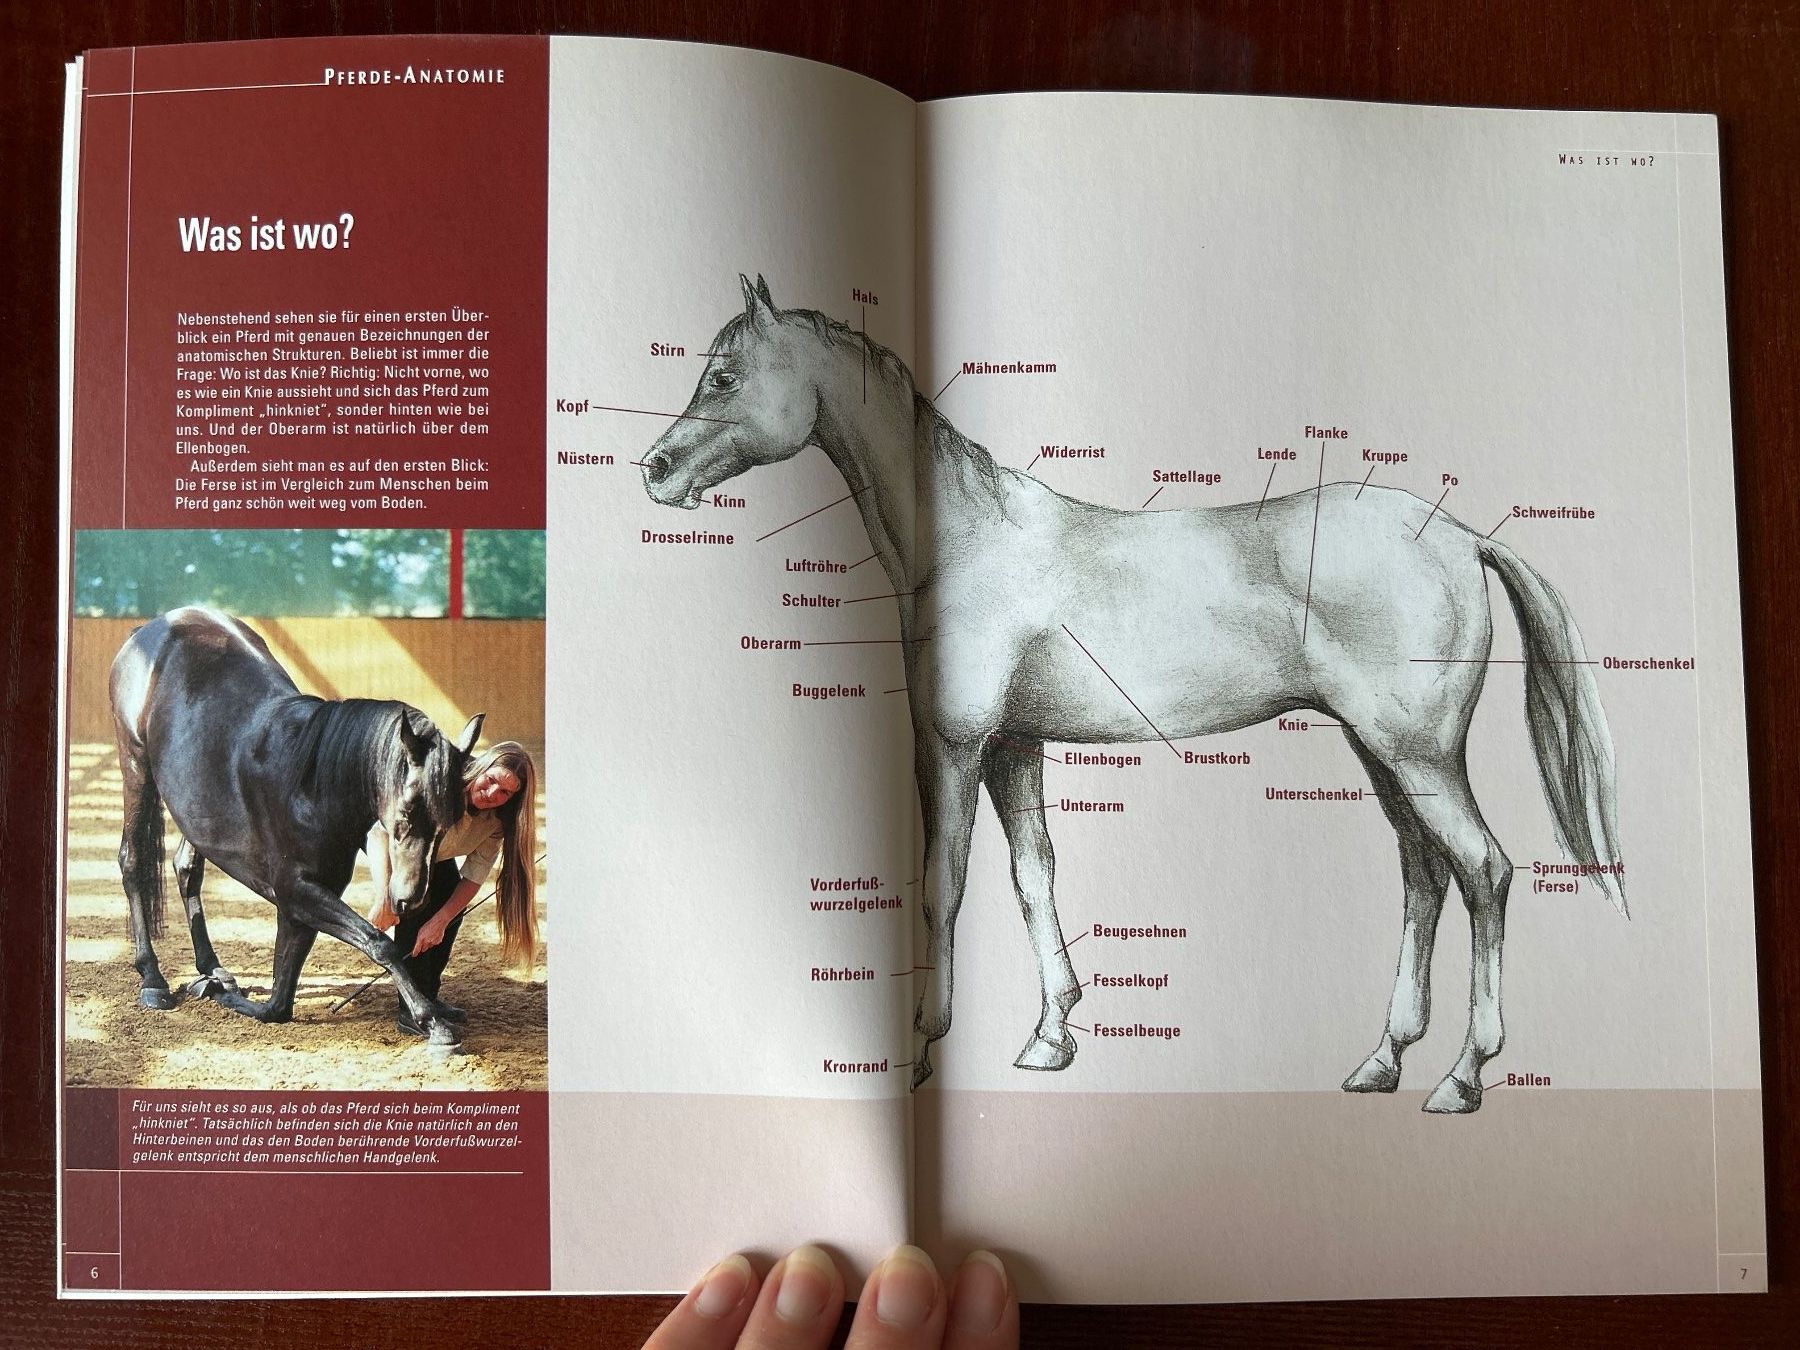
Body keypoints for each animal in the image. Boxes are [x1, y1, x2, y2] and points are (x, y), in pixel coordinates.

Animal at [108, 605, 483, 1052]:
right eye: (406, 812)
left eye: (451, 819)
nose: (411, 899)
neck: (312, 783)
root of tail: (148, 628)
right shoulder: (296, 892)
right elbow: (377, 944)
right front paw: (432, 1021)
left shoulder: (302, 904)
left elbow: (280, 1001)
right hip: (135, 765)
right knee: (132, 861)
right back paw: (153, 978)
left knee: (187, 868)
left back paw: (212, 968)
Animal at [641, 276, 1626, 1113]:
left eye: (723, 375)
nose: (654, 469)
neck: (967, 542)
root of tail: (1459, 536)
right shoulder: (1014, 748)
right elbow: (1033, 875)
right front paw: (1050, 1036)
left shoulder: (953, 747)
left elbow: (943, 886)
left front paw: (926, 1049)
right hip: (1378, 753)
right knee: (1424, 877)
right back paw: (1383, 1060)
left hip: (1417, 754)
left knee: (1485, 872)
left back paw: (1462, 1076)